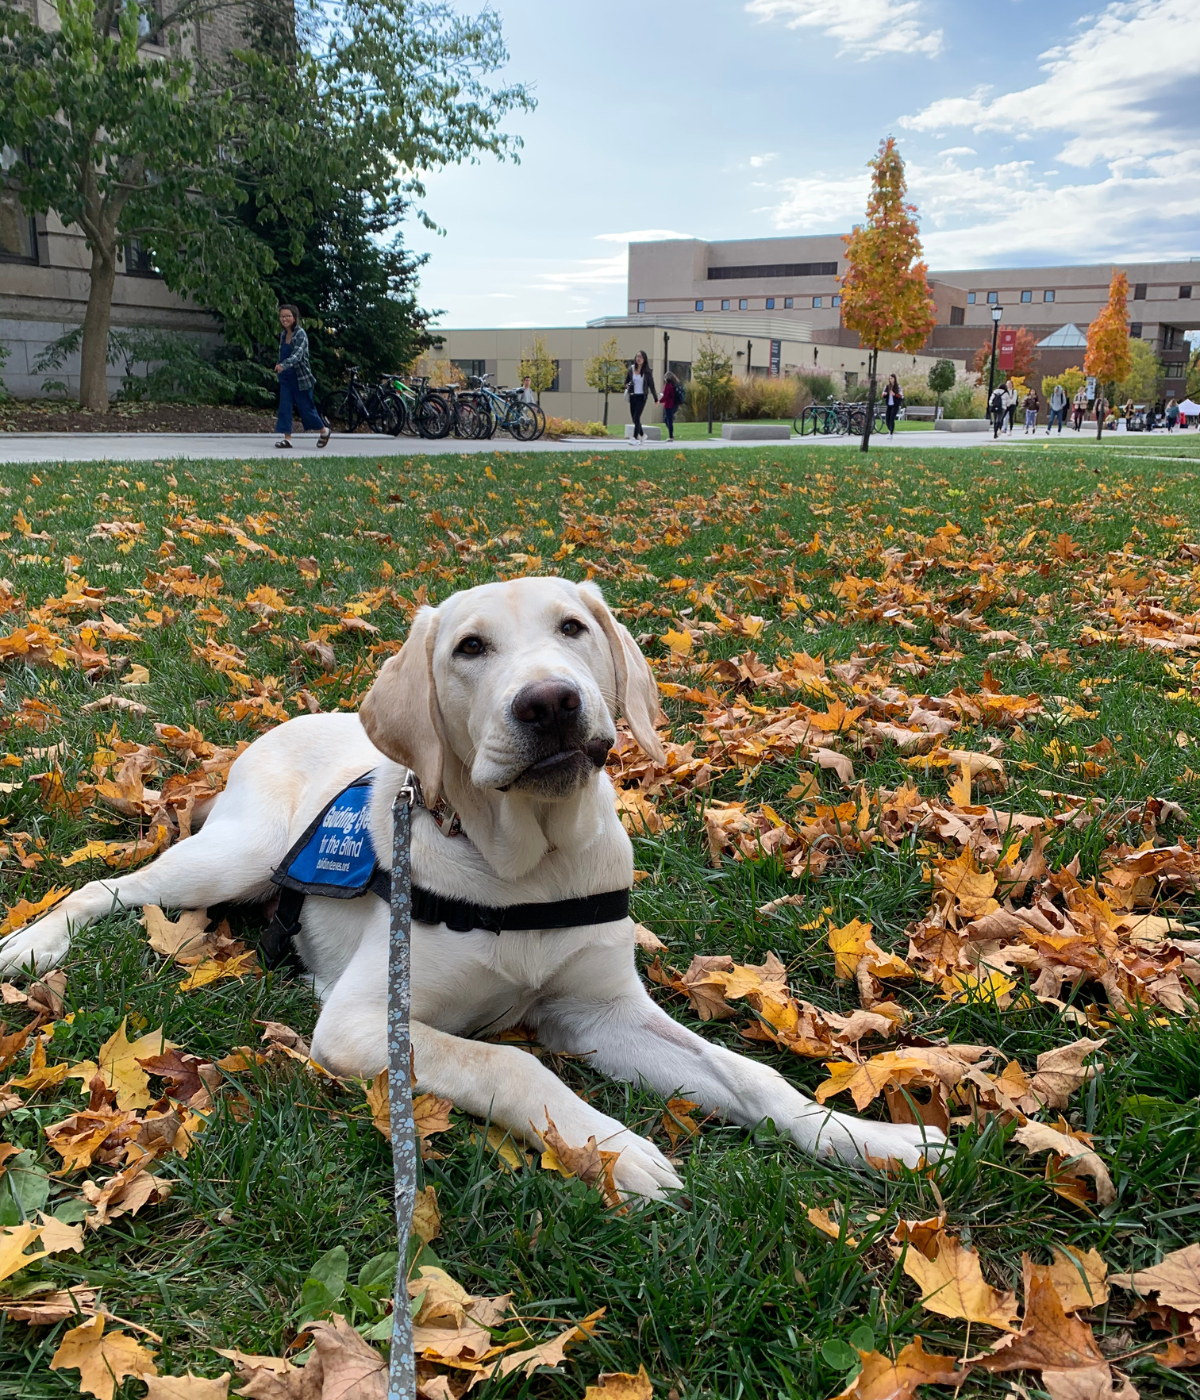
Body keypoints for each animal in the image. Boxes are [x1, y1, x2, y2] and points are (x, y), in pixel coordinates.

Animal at [2, 574, 946, 1198]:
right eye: (470, 648)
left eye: (573, 628)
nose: (550, 703)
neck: (530, 863)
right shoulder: (363, 1025)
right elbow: (509, 1061)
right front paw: (611, 1144)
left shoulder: (602, 1012)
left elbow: (752, 1077)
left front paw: (869, 1137)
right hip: (233, 856)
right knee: (105, 888)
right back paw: (31, 943)